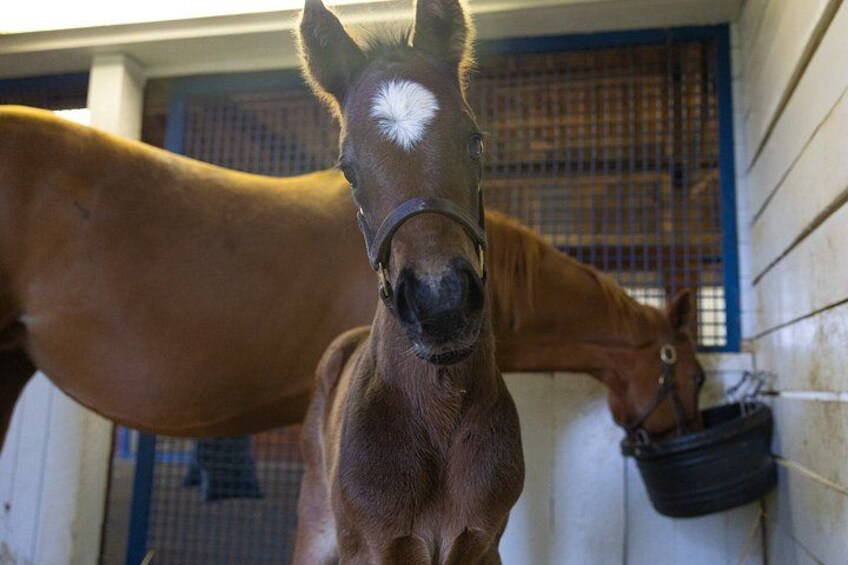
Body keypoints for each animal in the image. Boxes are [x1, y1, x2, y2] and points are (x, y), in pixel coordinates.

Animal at [293, 1, 523, 562]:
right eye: (348, 169)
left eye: (475, 141)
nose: (441, 304)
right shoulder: (370, 547)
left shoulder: (484, 543)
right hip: (316, 526)